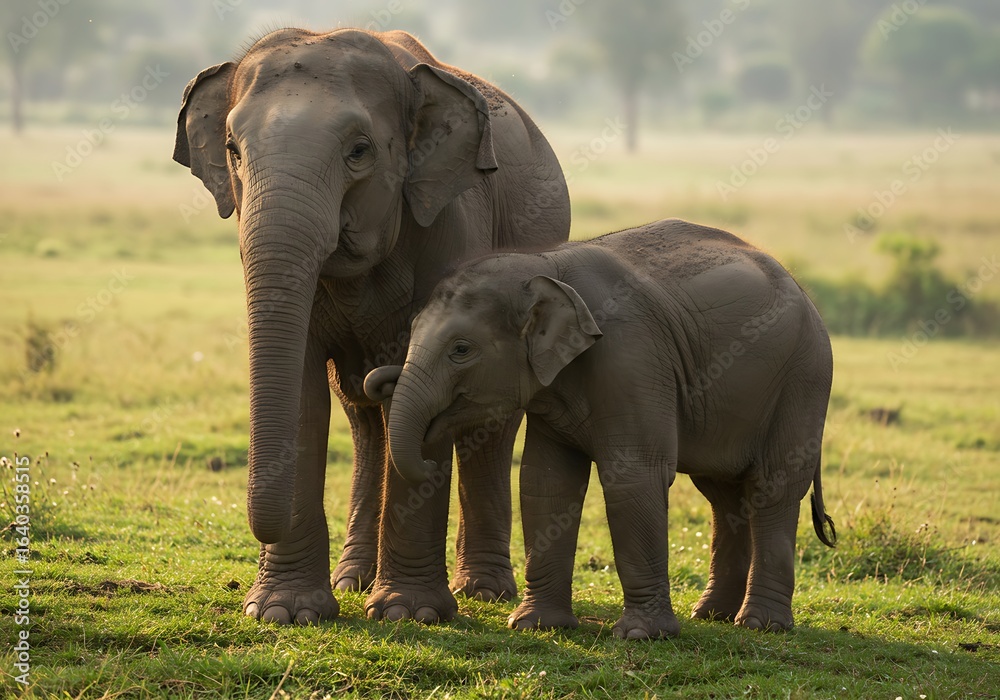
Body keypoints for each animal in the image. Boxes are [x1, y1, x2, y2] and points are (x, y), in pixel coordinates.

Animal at [172, 28, 570, 624]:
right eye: (232, 151)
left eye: (359, 151)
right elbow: (304, 395)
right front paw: (283, 612)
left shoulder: (450, 223)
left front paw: (409, 614)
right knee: (365, 422)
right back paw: (354, 579)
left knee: (488, 427)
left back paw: (482, 592)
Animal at [365, 218, 837, 637]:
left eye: (461, 350)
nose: (380, 380)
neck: (545, 266)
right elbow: (545, 482)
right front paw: (536, 626)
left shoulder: (632, 357)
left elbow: (632, 476)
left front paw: (641, 636)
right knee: (723, 494)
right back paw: (712, 615)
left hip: (803, 380)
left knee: (773, 488)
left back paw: (760, 625)